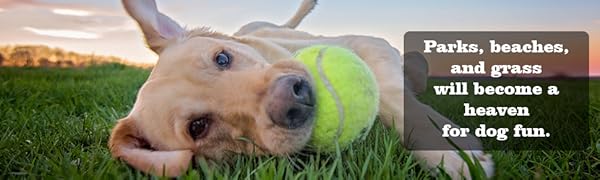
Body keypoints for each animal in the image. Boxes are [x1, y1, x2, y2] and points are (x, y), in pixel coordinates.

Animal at [110, 0, 494, 177]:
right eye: (198, 127)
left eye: (222, 58)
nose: (294, 100)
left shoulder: (367, 44)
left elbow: (392, 97)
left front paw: (450, 155)